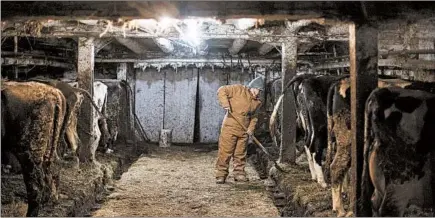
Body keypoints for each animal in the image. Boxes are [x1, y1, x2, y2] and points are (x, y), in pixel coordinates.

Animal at [0, 81, 67, 216]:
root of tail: (54, 93)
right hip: (50, 146)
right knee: (53, 165)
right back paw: (50, 200)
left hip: (29, 153)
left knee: (35, 185)